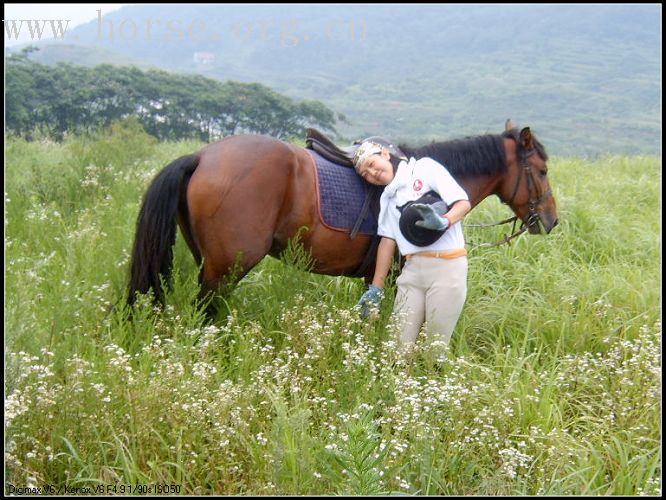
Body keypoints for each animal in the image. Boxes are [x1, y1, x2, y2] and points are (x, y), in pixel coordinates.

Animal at [124, 120, 556, 316]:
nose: (550, 220)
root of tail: (201, 157)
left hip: (209, 262)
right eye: (543, 170)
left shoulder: (375, 275)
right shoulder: (396, 274)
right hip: (225, 269)